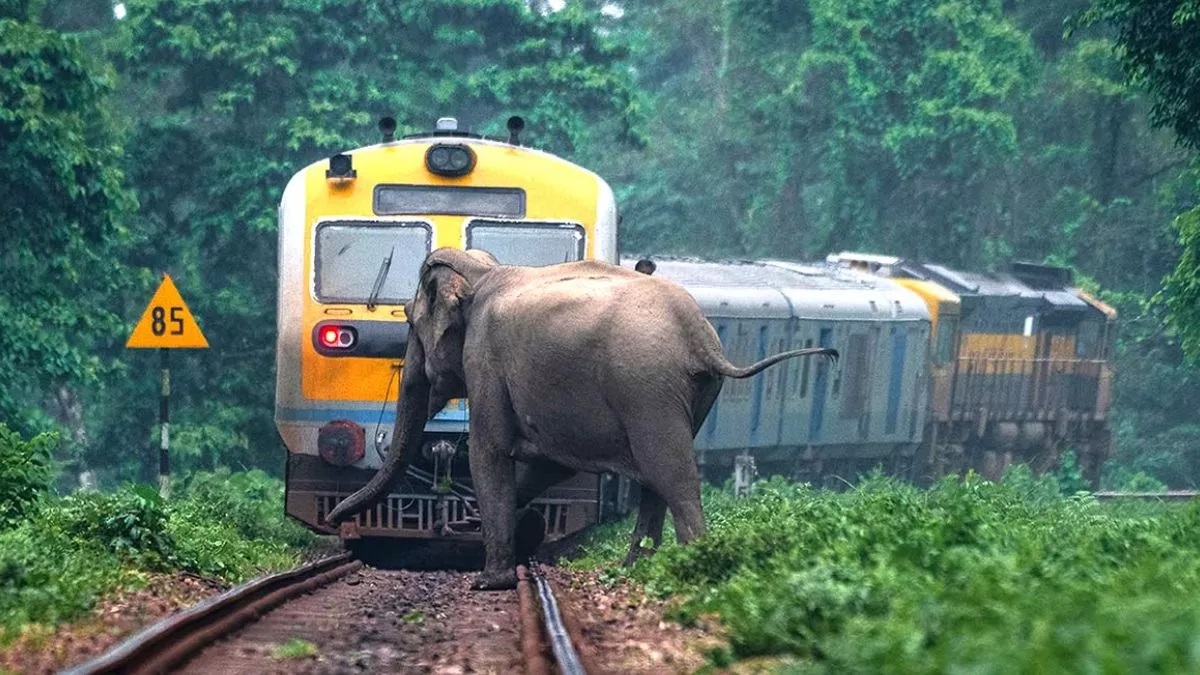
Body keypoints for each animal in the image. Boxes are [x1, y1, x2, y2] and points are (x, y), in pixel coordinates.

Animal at [324, 247, 840, 588]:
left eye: (410, 322)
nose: (333, 519)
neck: (483, 271)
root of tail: (701, 338)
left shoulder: (486, 358)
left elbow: (489, 453)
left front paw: (489, 581)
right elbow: (546, 465)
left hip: (645, 385)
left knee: (670, 474)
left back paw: (690, 567)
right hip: (695, 392)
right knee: (657, 478)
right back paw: (636, 566)